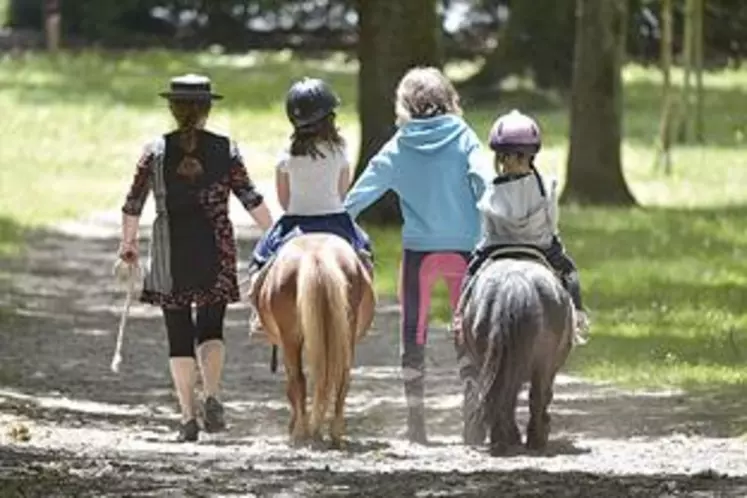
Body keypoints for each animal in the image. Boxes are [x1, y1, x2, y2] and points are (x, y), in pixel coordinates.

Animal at [254, 233, 376, 448]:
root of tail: (316, 255)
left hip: (291, 338)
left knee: (298, 380)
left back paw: (300, 433)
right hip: (346, 333)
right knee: (341, 378)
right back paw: (334, 434)